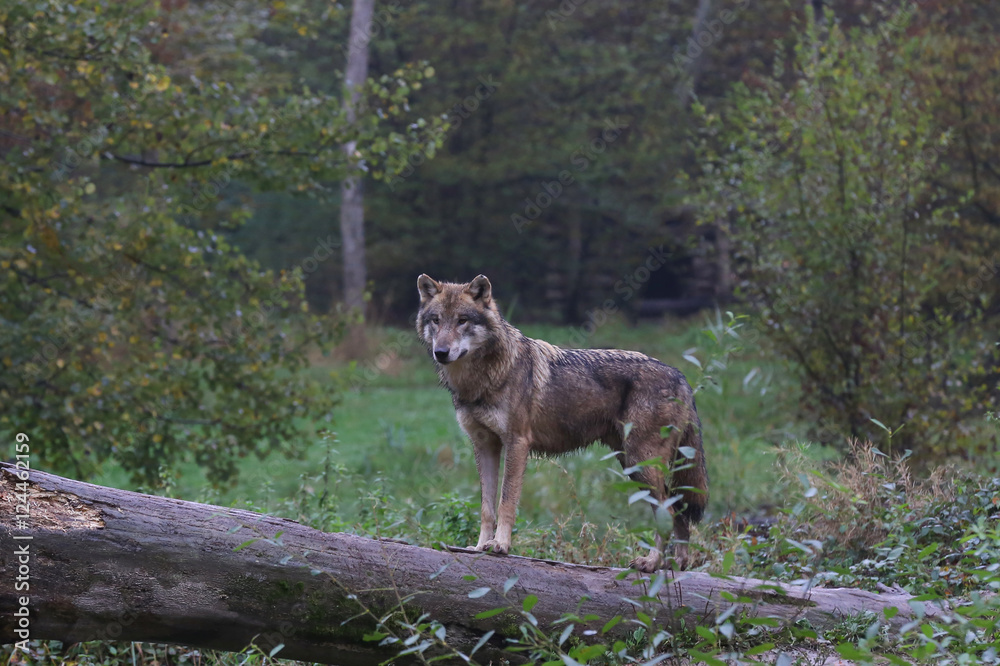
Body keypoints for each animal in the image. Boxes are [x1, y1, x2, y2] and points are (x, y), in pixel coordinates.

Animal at [416, 272, 712, 568]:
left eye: (462, 320)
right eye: (437, 320)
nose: (441, 352)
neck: (481, 379)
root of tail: (680, 376)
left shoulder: (517, 443)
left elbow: (506, 501)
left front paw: (500, 545)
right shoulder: (484, 445)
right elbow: (487, 507)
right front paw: (480, 546)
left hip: (641, 465)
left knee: (670, 511)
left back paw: (652, 563)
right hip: (632, 464)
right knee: (678, 510)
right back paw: (676, 566)